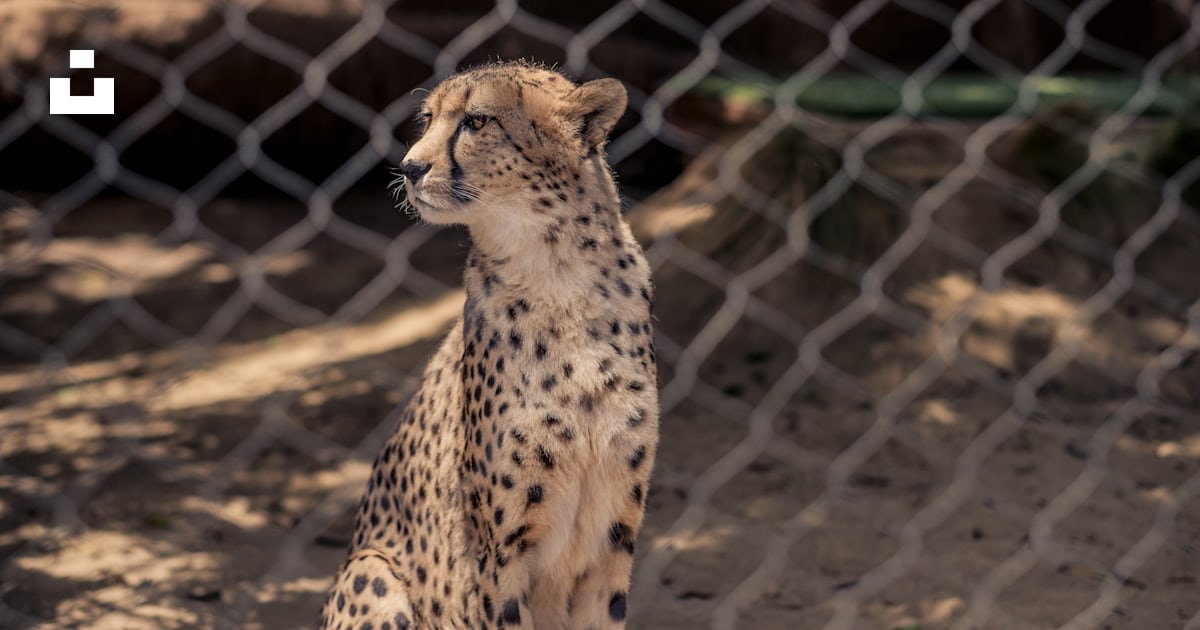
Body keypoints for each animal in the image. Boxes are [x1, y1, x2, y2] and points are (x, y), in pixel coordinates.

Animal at [318, 60, 659, 630]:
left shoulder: (612, 537)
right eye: (428, 119)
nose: (409, 168)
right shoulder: (496, 557)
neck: (558, 276)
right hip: (371, 568)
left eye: (476, 121)